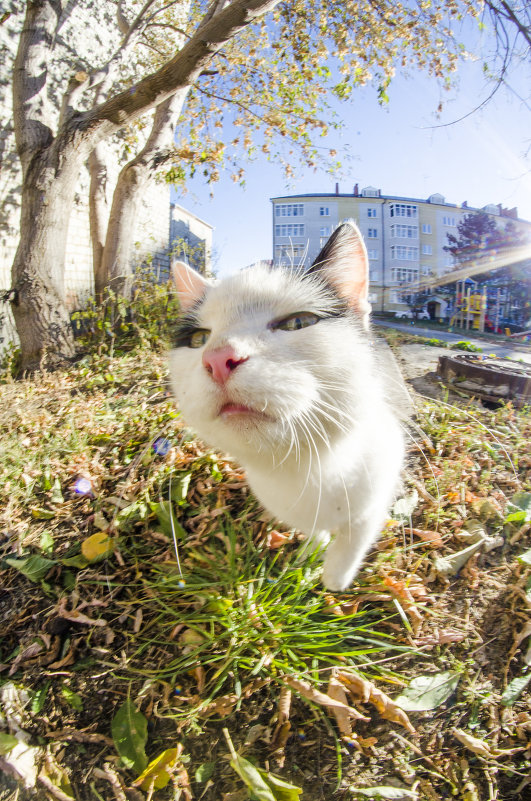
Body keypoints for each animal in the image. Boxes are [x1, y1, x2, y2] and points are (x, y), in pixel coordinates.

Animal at [168, 222, 406, 592]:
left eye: (297, 323)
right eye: (198, 340)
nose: (218, 359)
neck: (302, 469)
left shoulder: (372, 505)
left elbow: (351, 543)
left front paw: (334, 581)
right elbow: (315, 531)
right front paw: (311, 551)